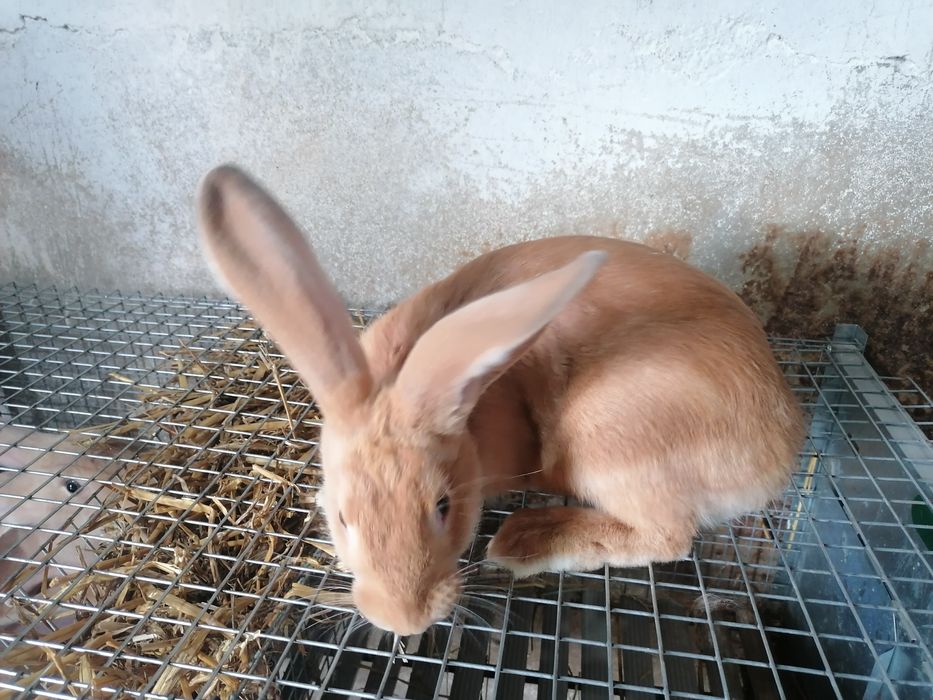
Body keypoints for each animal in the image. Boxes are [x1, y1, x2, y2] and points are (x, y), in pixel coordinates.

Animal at [196, 165, 805, 636]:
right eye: (343, 518)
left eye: (443, 506)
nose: (405, 622)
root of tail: (780, 451)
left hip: (605, 436)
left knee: (667, 537)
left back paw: (525, 541)